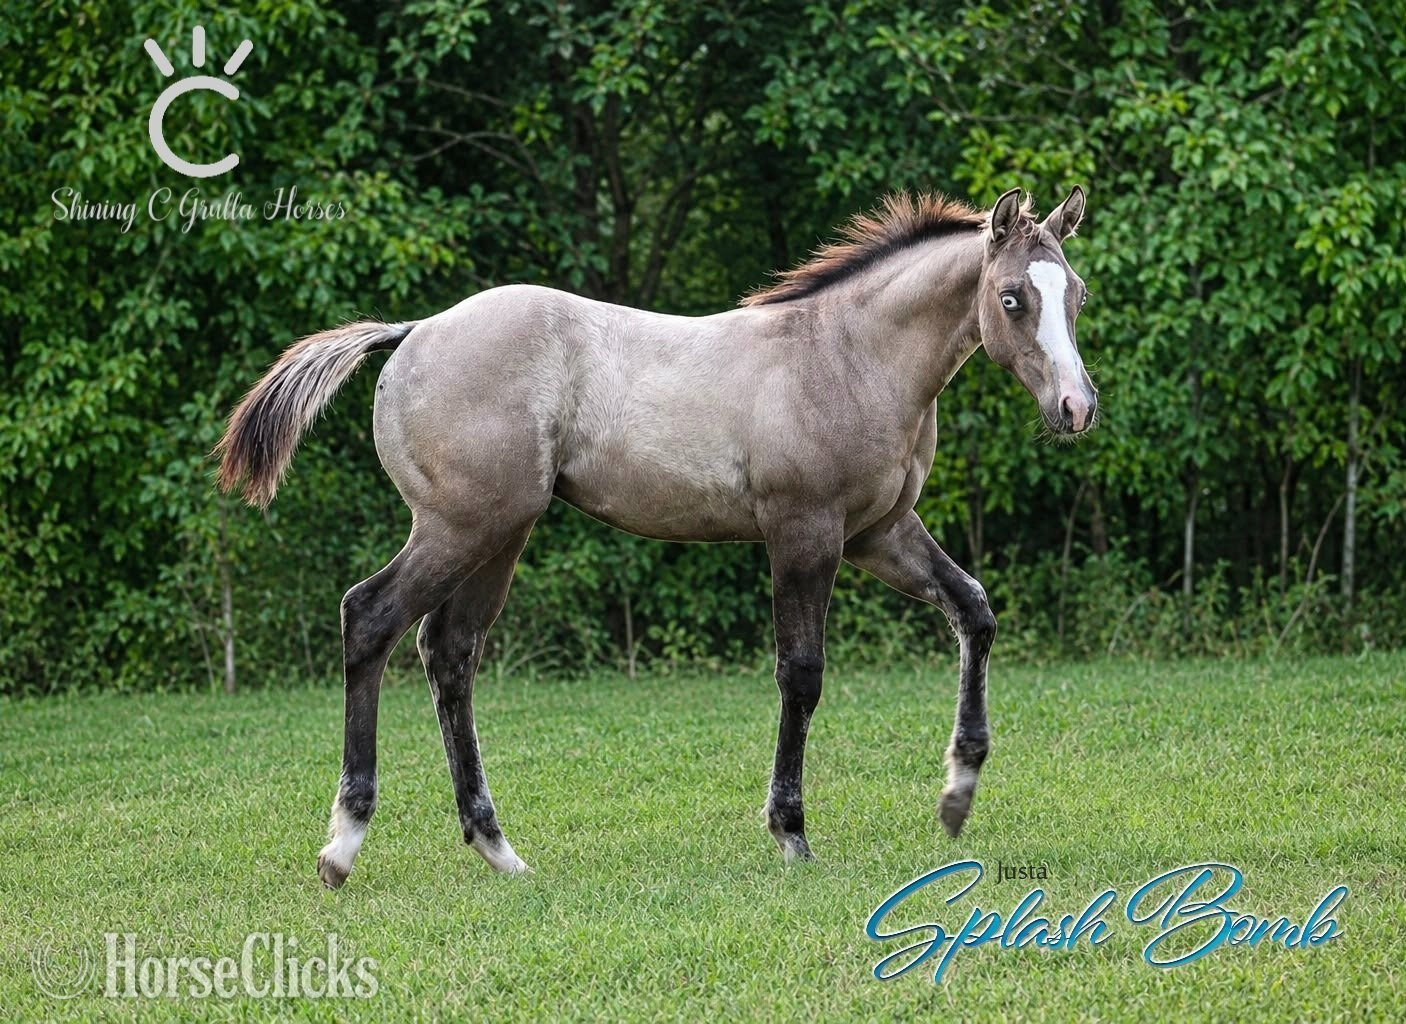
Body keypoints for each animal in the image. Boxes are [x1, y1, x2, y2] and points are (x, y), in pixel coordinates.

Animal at [215, 186, 1096, 888]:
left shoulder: (881, 532)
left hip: (499, 533)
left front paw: (956, 796)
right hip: (460, 527)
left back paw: (498, 849)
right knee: (370, 618)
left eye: (1076, 295)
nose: (1076, 408)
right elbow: (802, 675)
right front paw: (791, 834)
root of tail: (415, 331)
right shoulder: (804, 533)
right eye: (1012, 298)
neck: (847, 358)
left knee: (449, 652)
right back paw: (343, 845)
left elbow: (973, 609)